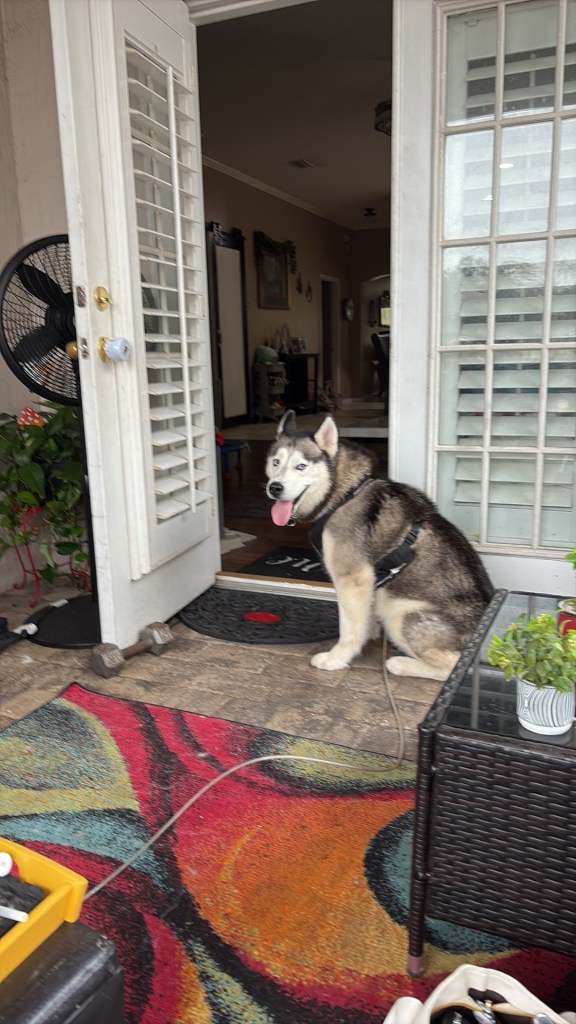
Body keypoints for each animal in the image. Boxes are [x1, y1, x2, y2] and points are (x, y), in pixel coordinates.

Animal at [265, 410, 494, 680]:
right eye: (276, 462)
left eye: (301, 466)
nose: (275, 488)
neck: (343, 493)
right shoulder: (370, 580)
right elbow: (363, 617)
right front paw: (369, 631)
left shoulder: (352, 577)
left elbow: (349, 628)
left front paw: (337, 658)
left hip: (399, 611)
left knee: (455, 667)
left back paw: (400, 664)